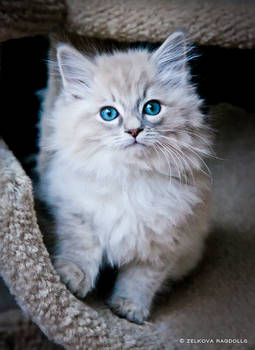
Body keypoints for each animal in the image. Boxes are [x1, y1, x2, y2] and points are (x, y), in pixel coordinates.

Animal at [36, 31, 211, 324]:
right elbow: (80, 249)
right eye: (108, 113)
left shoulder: (165, 240)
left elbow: (141, 280)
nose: (134, 131)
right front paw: (71, 279)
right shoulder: (77, 214)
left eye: (152, 108)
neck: (130, 177)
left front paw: (129, 309)